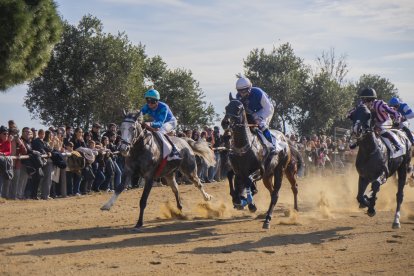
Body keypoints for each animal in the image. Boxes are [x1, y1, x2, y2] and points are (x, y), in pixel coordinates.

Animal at [220, 95, 304, 229]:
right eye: (226, 107)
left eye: (238, 108)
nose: (225, 123)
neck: (244, 146)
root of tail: (285, 139)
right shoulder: (238, 171)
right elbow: (230, 176)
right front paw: (237, 199)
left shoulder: (259, 170)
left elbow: (249, 182)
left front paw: (250, 204)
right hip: (268, 177)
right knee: (272, 191)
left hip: (282, 170)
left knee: (282, 191)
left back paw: (271, 218)